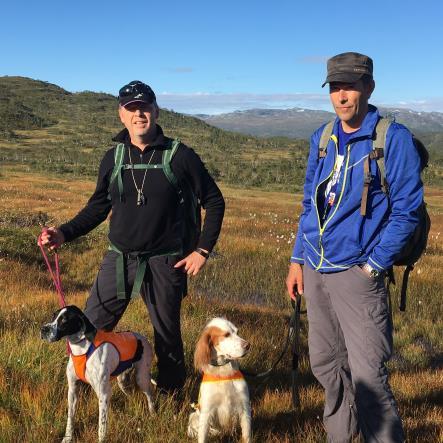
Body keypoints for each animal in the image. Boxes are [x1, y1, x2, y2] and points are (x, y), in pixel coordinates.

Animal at [41, 306, 156, 443]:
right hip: (123, 381)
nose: (43, 329)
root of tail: (142, 337)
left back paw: (153, 414)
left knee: (150, 396)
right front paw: (67, 438)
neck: (81, 348)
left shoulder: (103, 394)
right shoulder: (73, 390)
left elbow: (102, 426)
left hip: (142, 378)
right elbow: (70, 419)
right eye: (53, 316)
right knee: (132, 395)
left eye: (64, 320)